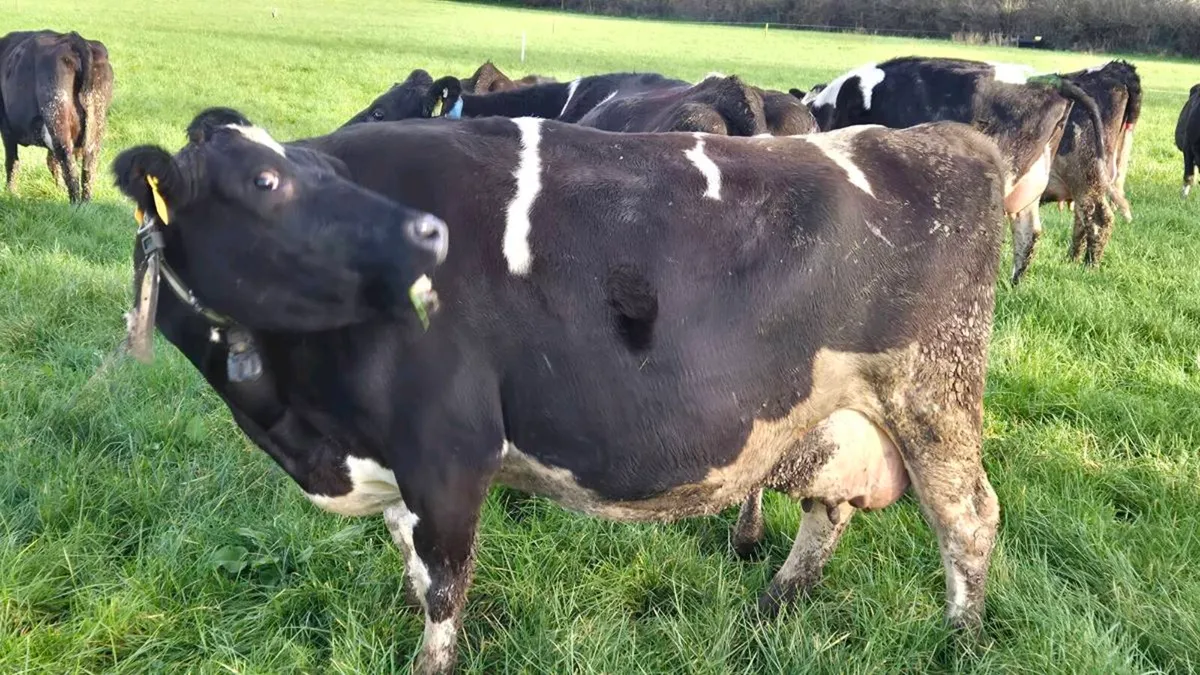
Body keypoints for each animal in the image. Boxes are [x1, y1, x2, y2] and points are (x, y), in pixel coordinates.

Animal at [0, 29, 113, 202]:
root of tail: (74, 39)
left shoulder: (6, 130)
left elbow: (12, 162)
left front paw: (10, 193)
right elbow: (52, 162)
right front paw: (59, 190)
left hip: (57, 116)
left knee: (69, 167)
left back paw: (75, 204)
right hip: (96, 120)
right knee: (88, 168)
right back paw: (85, 203)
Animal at [115, 108, 1013, 674]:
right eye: (268, 182)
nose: (418, 240)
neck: (307, 424)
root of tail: (945, 137)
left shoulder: (450, 449)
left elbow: (444, 585)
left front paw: (431, 659)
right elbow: (411, 562)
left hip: (932, 393)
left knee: (969, 518)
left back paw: (962, 640)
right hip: (836, 414)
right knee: (830, 507)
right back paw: (778, 600)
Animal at [1039, 60, 1142, 267]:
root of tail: (1117, 67)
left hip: (1087, 176)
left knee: (1098, 219)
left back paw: (1089, 266)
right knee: (1081, 218)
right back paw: (1072, 261)